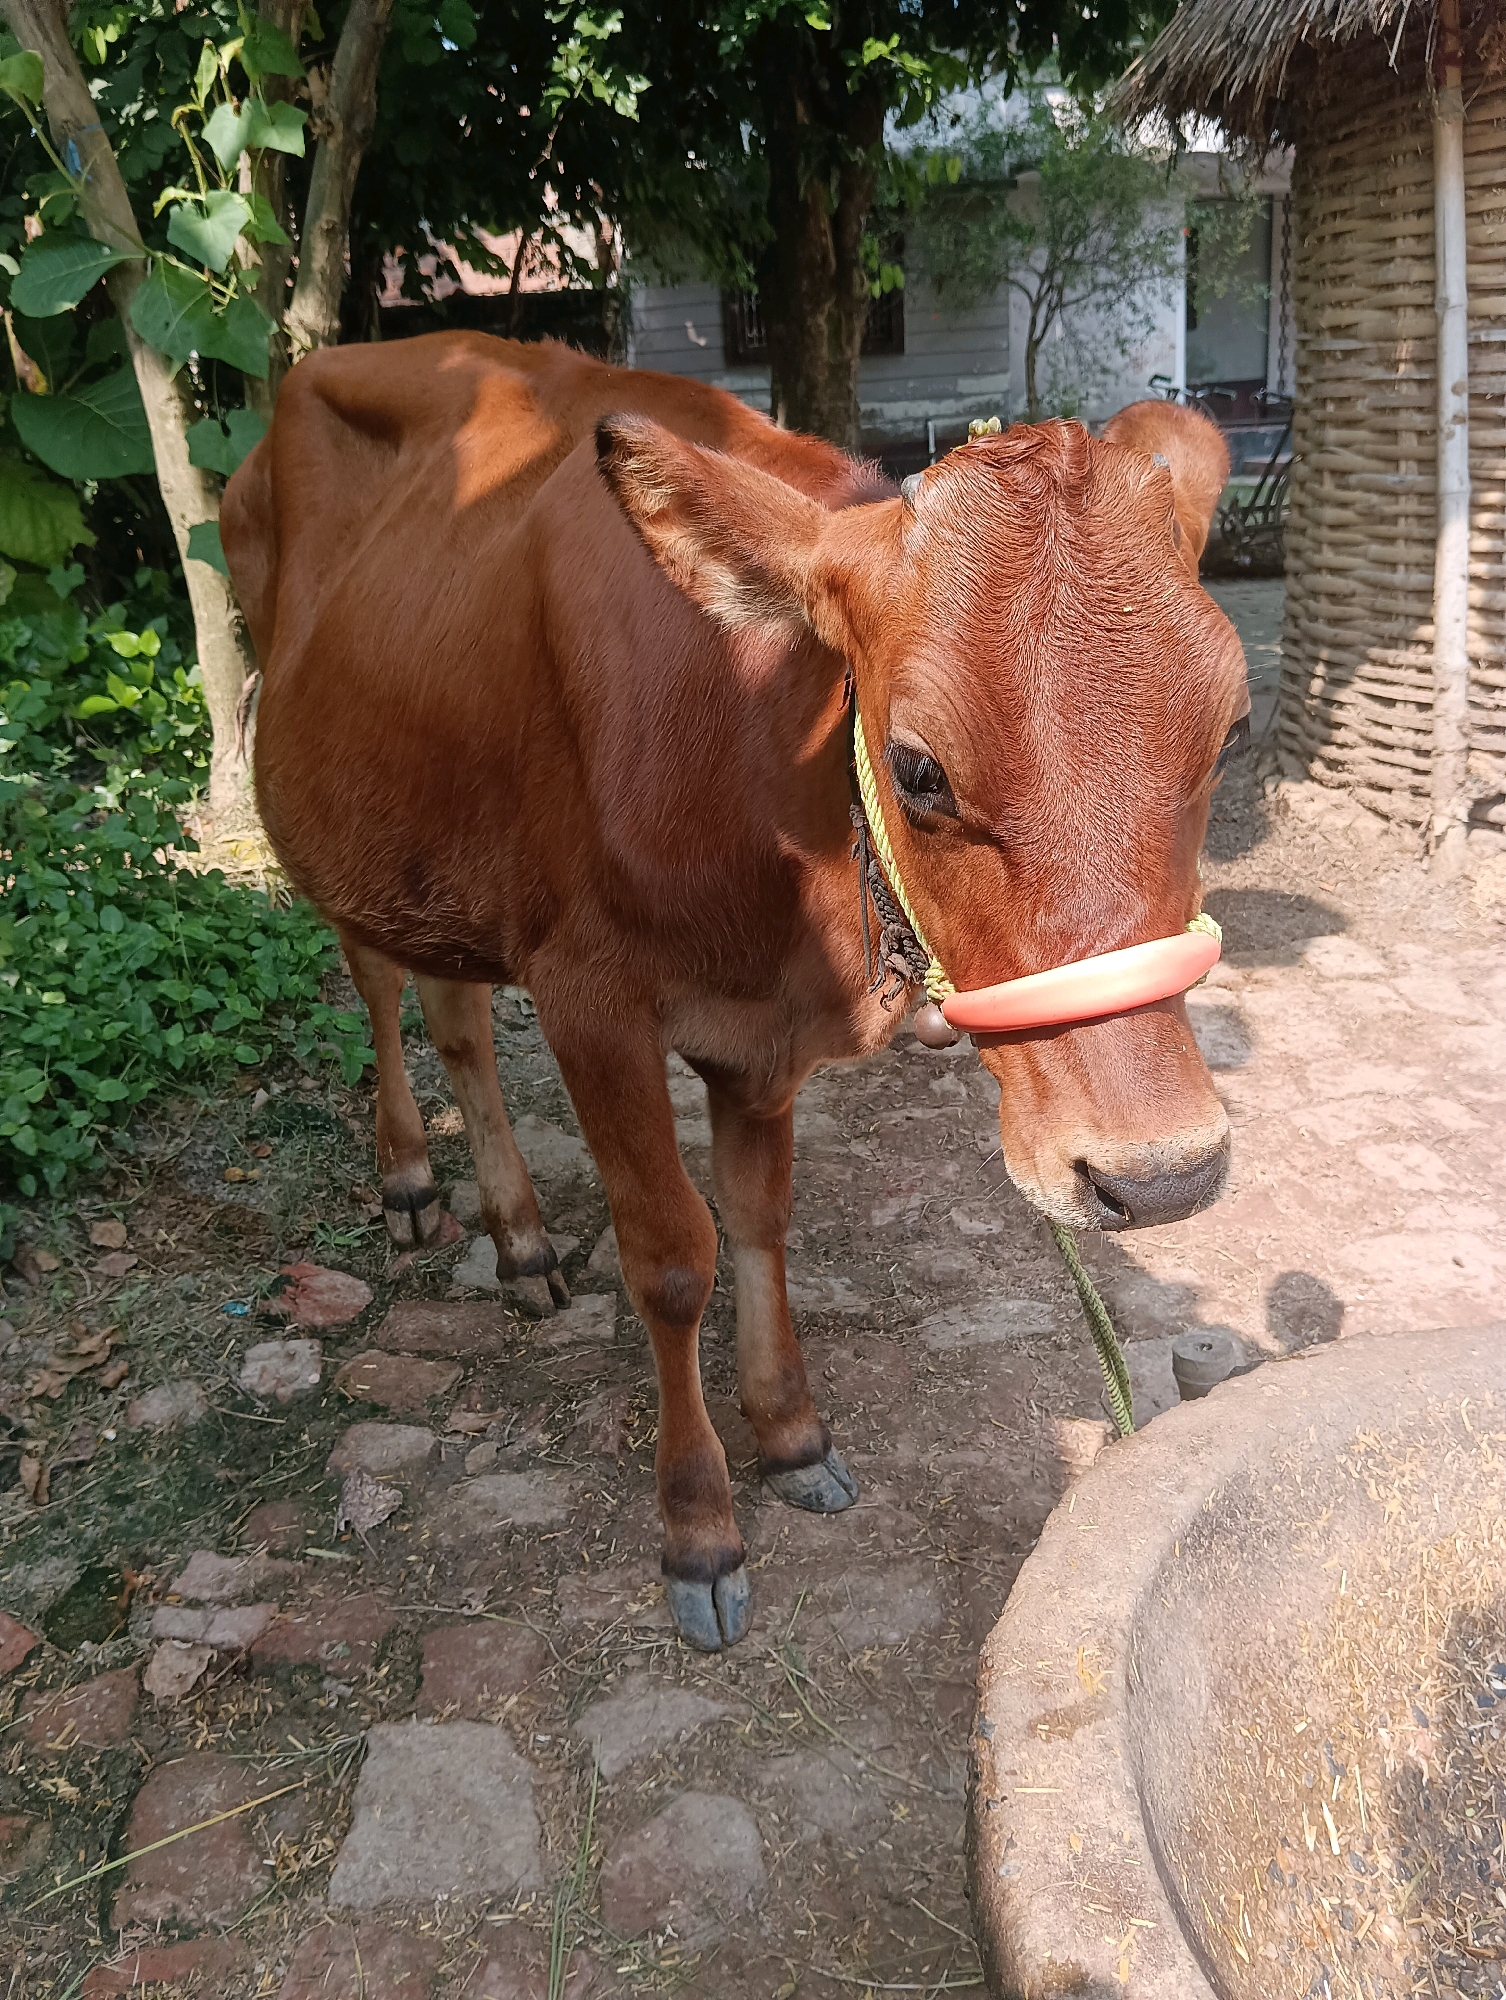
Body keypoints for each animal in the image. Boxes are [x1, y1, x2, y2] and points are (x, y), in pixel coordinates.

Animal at [222, 335, 1246, 1651]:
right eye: (918, 767)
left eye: (1230, 732)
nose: (1159, 1171)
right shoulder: (588, 998)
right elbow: (672, 1255)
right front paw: (699, 1522)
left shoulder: (761, 1032)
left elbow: (759, 1217)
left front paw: (791, 1430)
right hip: (342, 838)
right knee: (383, 988)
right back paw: (409, 1174)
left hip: (447, 858)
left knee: (459, 1022)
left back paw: (521, 1238)